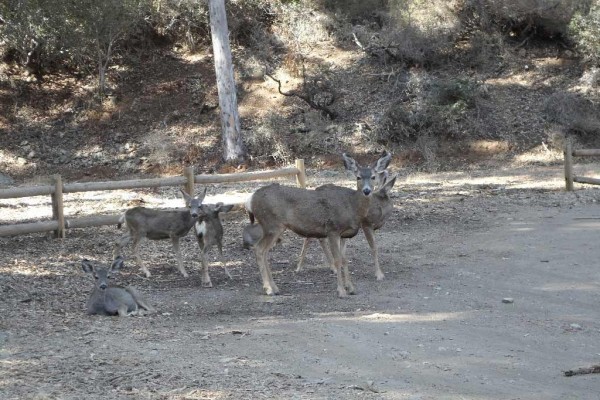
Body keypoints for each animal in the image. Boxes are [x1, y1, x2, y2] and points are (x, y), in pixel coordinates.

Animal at [246, 152, 392, 298]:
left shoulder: (344, 235)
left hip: (271, 227)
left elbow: (345, 259)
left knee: (264, 251)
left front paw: (350, 288)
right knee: (259, 249)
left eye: (373, 177)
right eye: (358, 177)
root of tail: (250, 200)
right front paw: (341, 291)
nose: (367, 191)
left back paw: (274, 287)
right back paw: (268, 289)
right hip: (271, 224)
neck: (352, 206)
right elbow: (337, 260)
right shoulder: (333, 229)